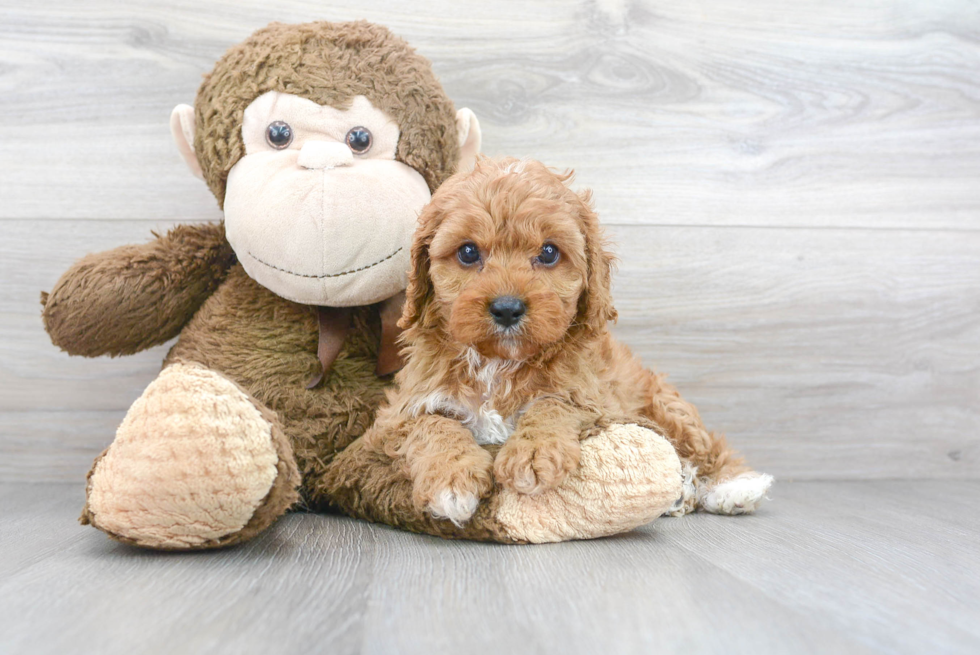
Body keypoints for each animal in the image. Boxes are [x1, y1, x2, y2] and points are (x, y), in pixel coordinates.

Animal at [348, 158, 768, 528]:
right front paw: (451, 480)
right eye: (468, 252)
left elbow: (552, 404)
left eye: (548, 252)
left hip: (665, 404)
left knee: (704, 445)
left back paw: (733, 486)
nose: (507, 308)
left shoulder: (594, 399)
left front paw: (533, 453)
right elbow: (432, 424)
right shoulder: (397, 415)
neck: (499, 363)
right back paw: (682, 494)